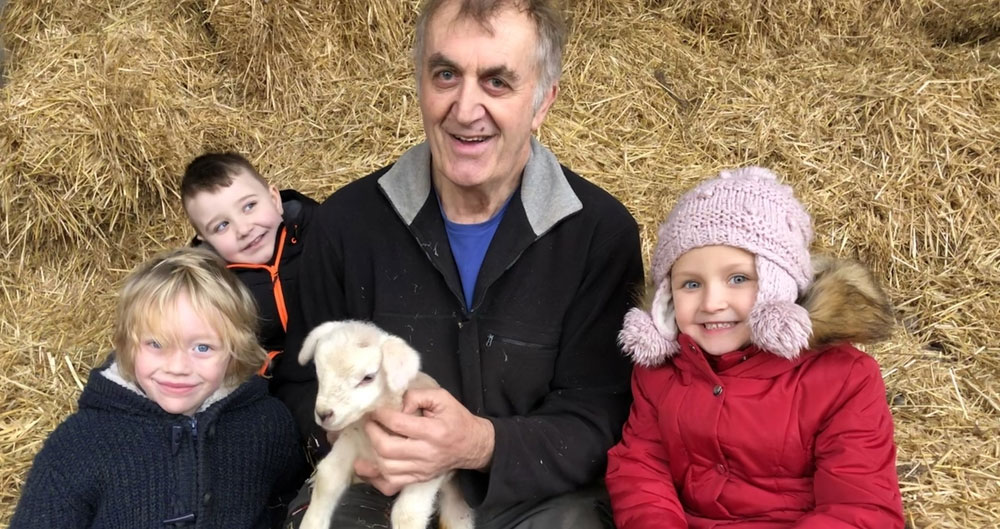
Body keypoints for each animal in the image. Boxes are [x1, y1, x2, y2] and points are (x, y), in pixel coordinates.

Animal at [294, 318, 474, 528]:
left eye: (368, 378)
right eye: (318, 372)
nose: (324, 414)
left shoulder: (429, 465)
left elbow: (406, 514)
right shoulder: (351, 440)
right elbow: (327, 477)